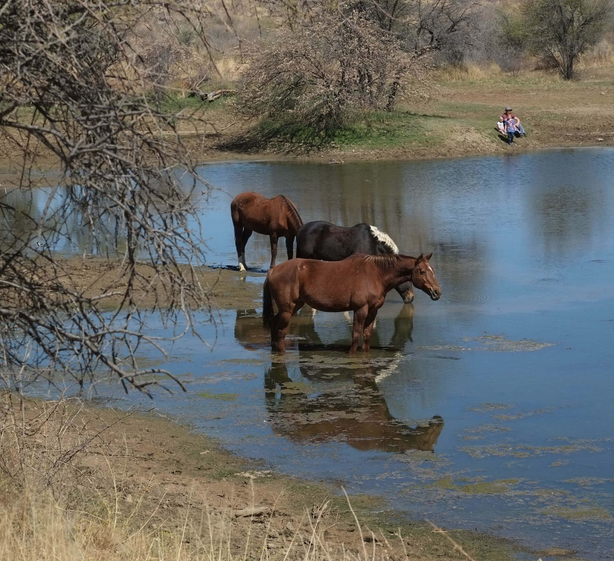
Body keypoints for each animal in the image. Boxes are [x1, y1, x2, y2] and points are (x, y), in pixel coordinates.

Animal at [264, 252, 442, 352]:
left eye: (432, 270)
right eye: (422, 271)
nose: (437, 292)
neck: (377, 274)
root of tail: (273, 271)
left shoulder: (373, 310)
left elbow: (367, 335)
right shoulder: (360, 309)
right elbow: (356, 336)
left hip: (295, 306)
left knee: (273, 324)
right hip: (287, 310)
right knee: (281, 331)